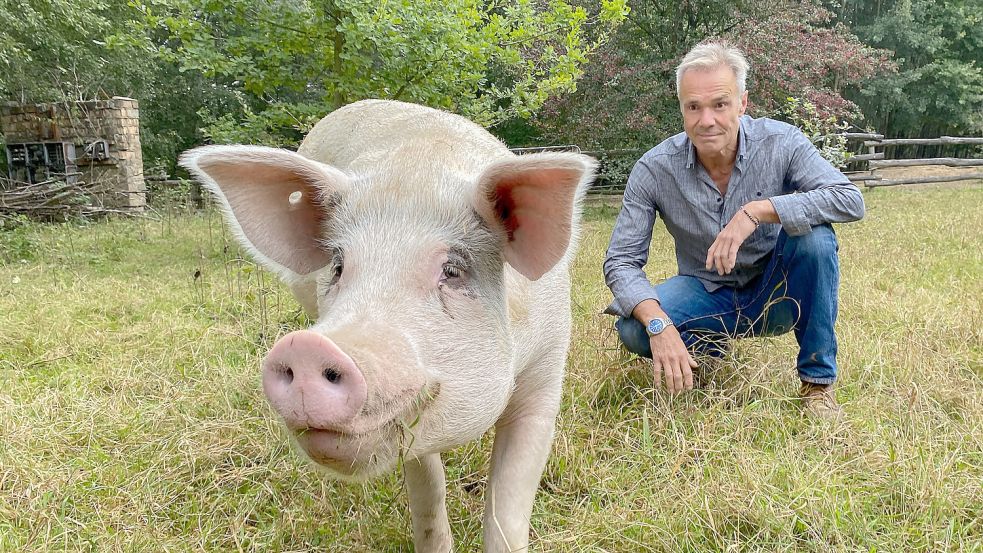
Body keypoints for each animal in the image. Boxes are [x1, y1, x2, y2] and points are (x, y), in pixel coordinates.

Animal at [181, 100, 596, 552]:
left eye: (453, 271)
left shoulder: (547, 371)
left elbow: (507, 508)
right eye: (339, 265)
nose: (306, 349)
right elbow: (428, 486)